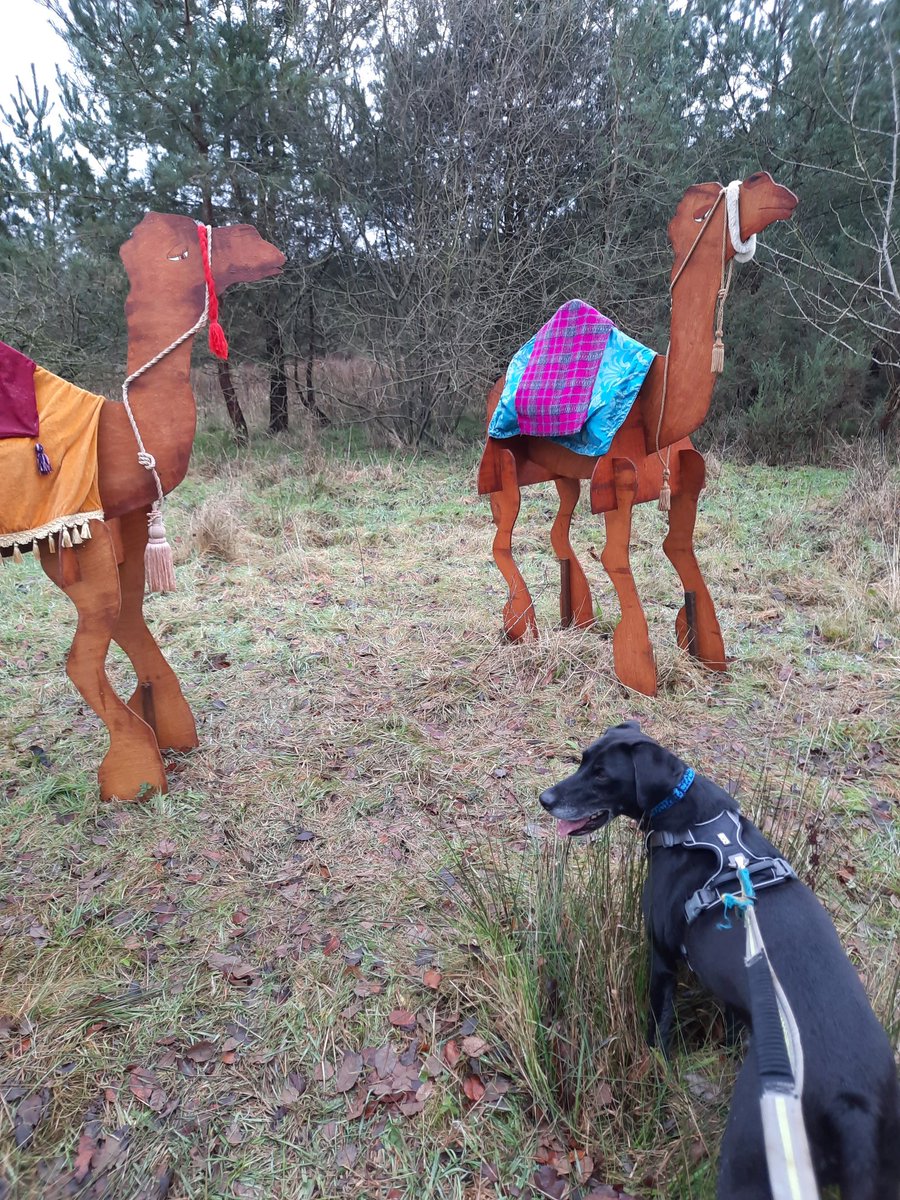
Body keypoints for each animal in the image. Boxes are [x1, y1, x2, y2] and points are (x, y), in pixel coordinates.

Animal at [2, 214, 284, 800]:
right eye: (181, 254)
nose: (265, 244)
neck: (109, 431)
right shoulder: (69, 531)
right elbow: (88, 654)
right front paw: (134, 773)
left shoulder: (118, 521)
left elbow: (131, 618)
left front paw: (170, 728)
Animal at [477, 171, 799, 696]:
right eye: (701, 214)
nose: (779, 192)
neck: (658, 414)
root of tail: (493, 388)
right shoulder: (618, 481)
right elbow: (616, 558)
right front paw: (638, 669)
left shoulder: (685, 477)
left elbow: (680, 549)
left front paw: (704, 649)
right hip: (502, 464)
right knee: (501, 540)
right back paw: (521, 626)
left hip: (563, 473)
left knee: (558, 532)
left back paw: (576, 619)